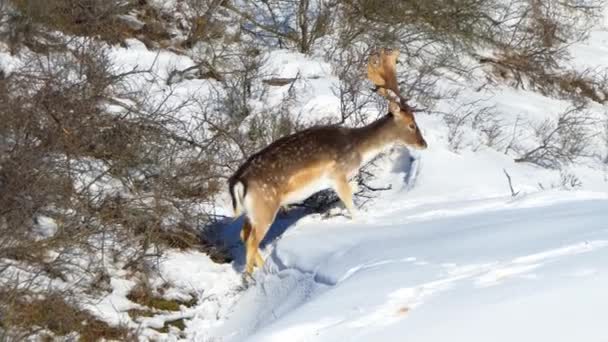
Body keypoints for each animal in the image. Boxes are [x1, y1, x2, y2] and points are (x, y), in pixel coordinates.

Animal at [229, 48, 428, 274]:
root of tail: (238, 181)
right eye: (412, 124)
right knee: (252, 240)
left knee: (244, 235)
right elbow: (351, 206)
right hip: (265, 205)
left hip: (251, 211)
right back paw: (253, 276)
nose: (424, 144)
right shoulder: (338, 175)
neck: (358, 149)